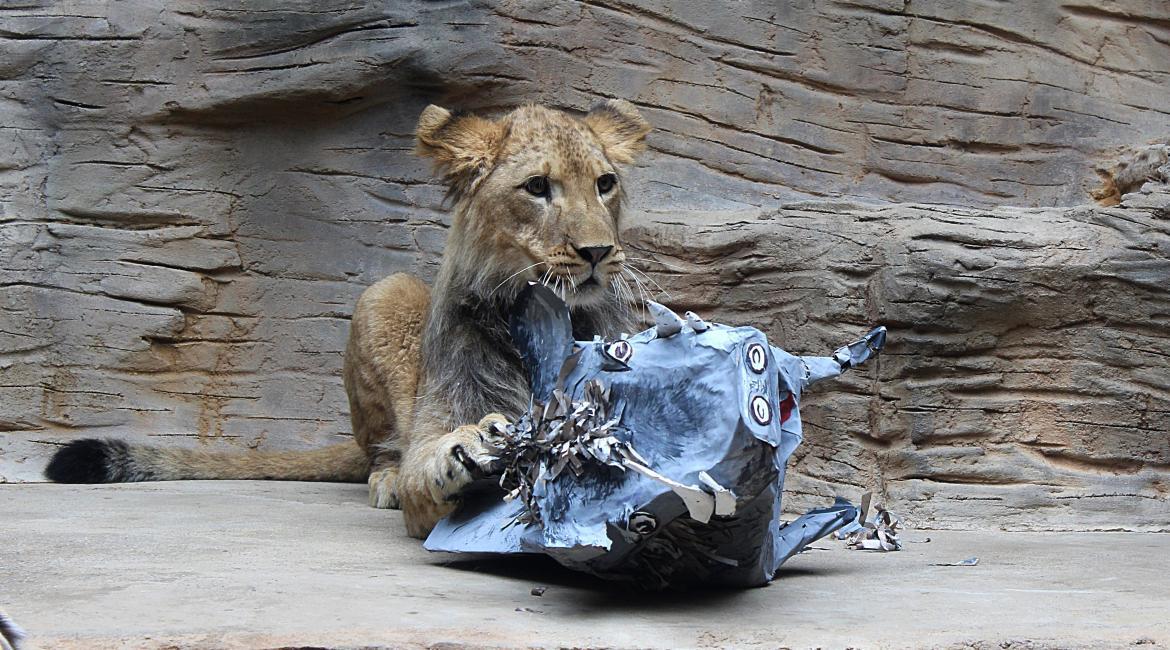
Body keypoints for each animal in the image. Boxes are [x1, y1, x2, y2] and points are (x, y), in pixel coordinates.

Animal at [45, 100, 651, 538]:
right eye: (537, 187)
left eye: (605, 184)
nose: (598, 252)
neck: (545, 320)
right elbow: (427, 471)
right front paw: (466, 452)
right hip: (383, 294)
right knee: (376, 451)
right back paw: (386, 477)